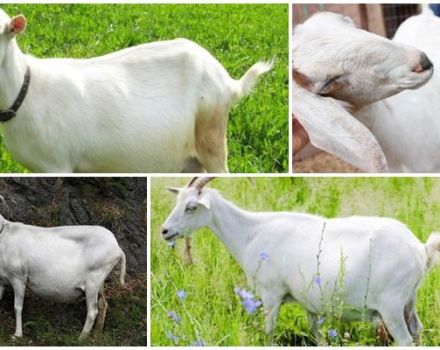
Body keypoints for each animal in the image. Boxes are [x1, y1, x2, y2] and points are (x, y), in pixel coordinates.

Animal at [161, 176, 440, 346]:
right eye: (177, 201)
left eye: (192, 207)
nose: (165, 231)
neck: (251, 232)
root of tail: (421, 250)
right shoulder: (310, 303)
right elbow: (317, 334)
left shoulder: (271, 293)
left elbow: (269, 331)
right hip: (408, 302)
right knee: (417, 331)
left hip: (391, 306)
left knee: (404, 340)